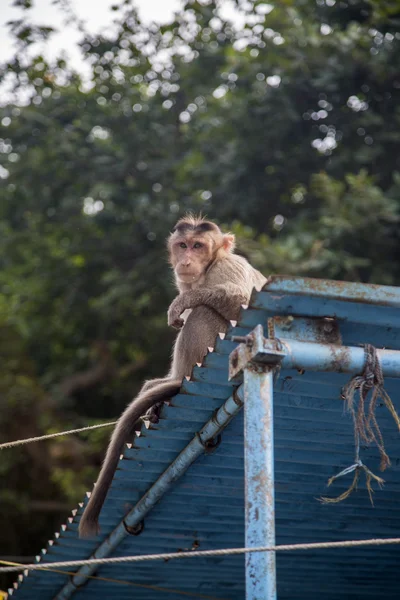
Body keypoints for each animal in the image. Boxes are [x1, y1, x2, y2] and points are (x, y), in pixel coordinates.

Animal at [77, 216, 266, 540]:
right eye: (182, 245)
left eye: (198, 246)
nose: (186, 260)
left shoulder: (229, 267)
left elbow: (240, 301)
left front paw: (182, 301)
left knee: (203, 311)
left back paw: (180, 380)